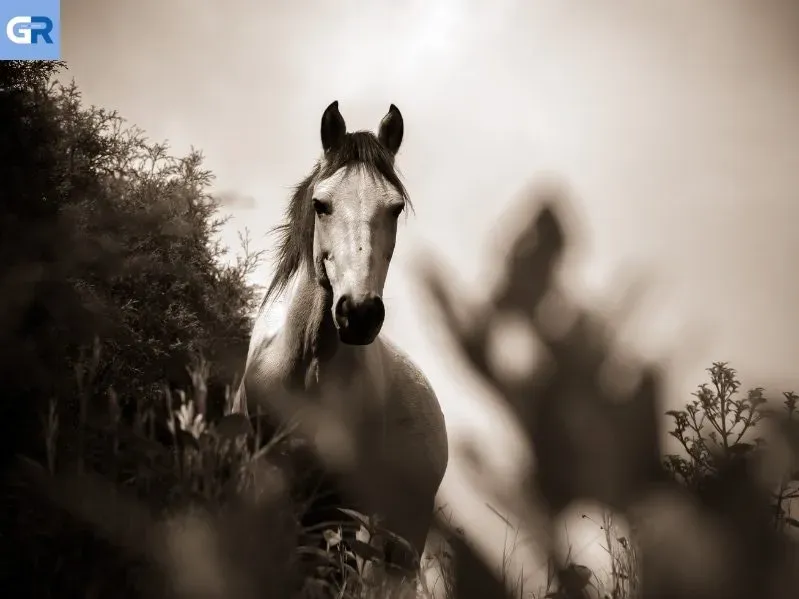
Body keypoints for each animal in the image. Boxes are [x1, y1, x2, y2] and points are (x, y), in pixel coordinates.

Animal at [234, 101, 454, 584]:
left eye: (394, 209)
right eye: (322, 205)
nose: (359, 313)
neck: (306, 365)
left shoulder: (333, 501)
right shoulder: (265, 477)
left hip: (399, 531)